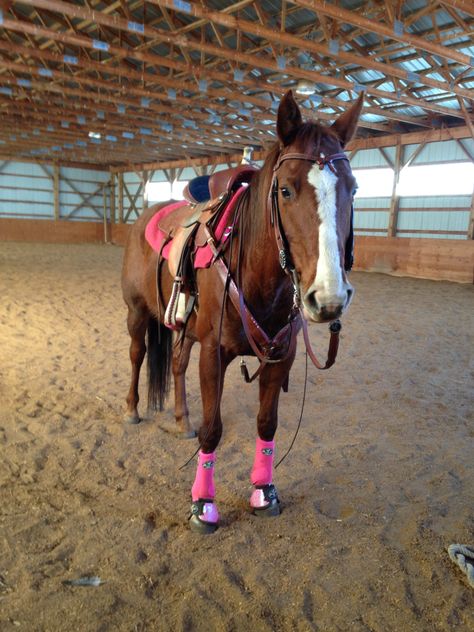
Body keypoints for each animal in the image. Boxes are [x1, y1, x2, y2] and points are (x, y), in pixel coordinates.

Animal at [121, 90, 362, 532]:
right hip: (137, 313)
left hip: (185, 329)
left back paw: (181, 419)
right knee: (137, 354)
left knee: (176, 366)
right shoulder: (214, 354)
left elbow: (267, 423)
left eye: (352, 189)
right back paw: (131, 410)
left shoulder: (281, 356)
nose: (328, 297)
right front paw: (203, 505)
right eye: (285, 190)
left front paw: (263, 493)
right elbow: (213, 430)